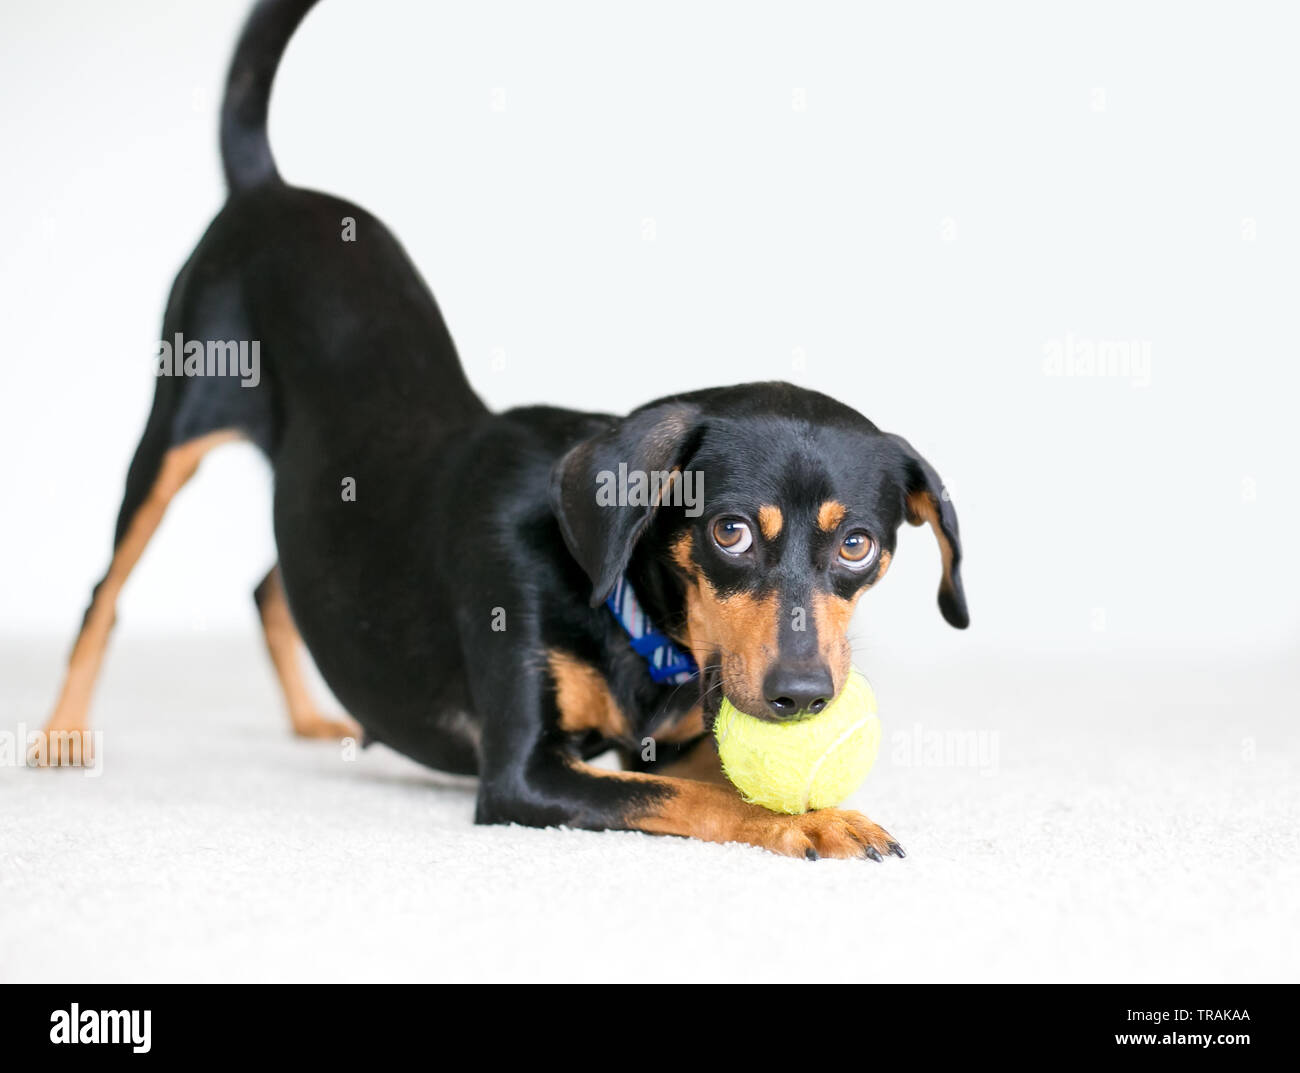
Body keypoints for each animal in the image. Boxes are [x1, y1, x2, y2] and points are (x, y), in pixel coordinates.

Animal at [30, 0, 972, 858]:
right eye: (730, 531)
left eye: (857, 544)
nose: (802, 694)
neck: (628, 608)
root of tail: (268, 188)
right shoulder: (525, 774)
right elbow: (699, 799)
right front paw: (816, 819)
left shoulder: (682, 736)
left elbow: (705, 776)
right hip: (175, 425)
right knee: (105, 590)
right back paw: (61, 735)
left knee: (269, 585)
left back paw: (313, 718)